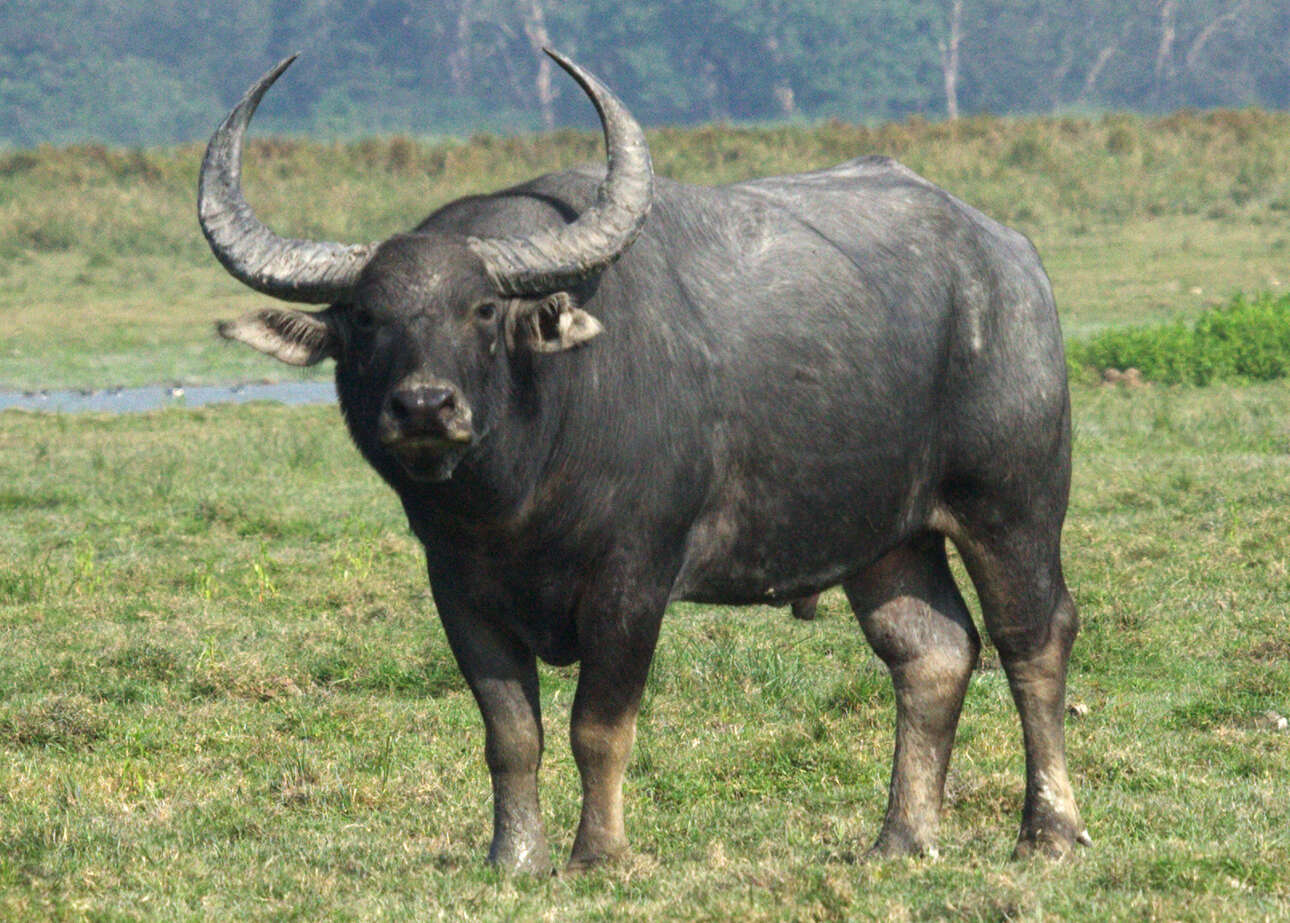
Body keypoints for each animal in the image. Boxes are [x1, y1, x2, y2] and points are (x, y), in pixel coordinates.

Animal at [198, 50, 1088, 871]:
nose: (424, 406)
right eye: (363, 317)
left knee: (1032, 638)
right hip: (888, 536)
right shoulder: (457, 587)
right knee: (931, 651)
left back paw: (1048, 830)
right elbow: (510, 732)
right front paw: (514, 855)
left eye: (481, 308)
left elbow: (598, 725)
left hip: (1011, 503)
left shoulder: (633, 578)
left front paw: (599, 852)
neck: (516, 497)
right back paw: (901, 837)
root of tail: (1011, 260)